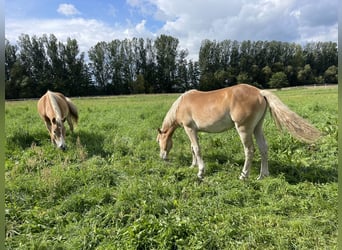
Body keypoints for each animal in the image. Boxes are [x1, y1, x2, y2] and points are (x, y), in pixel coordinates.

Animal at [156, 84, 322, 180]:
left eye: (159, 141)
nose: (162, 157)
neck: (182, 104)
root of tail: (260, 92)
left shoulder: (189, 128)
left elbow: (196, 148)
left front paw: (200, 172)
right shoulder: (193, 130)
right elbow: (192, 148)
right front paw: (193, 165)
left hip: (244, 129)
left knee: (249, 150)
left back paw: (244, 175)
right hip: (257, 128)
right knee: (263, 148)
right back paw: (263, 175)